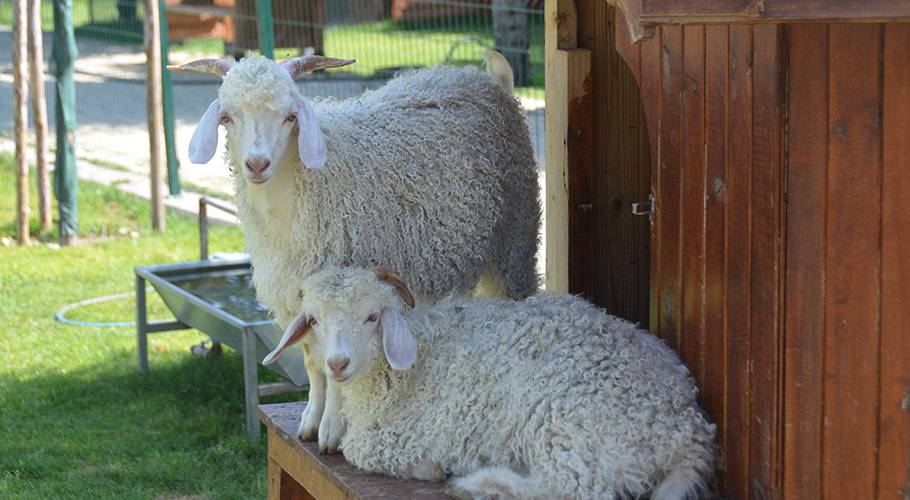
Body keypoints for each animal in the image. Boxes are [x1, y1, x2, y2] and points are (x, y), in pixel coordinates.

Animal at [170, 52, 540, 452]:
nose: (257, 164)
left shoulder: (346, 283)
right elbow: (313, 360)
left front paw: (331, 429)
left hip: (516, 237)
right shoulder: (298, 296)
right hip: (456, 255)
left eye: (289, 116)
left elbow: (338, 362)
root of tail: (482, 78)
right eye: (227, 116)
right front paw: (309, 421)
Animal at [260, 268, 716, 500]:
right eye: (313, 320)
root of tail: (688, 429)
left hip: (564, 424)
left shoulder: (413, 432)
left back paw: (483, 483)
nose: (337, 363)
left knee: (573, 490)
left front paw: (429, 468)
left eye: (372, 316)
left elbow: (361, 448)